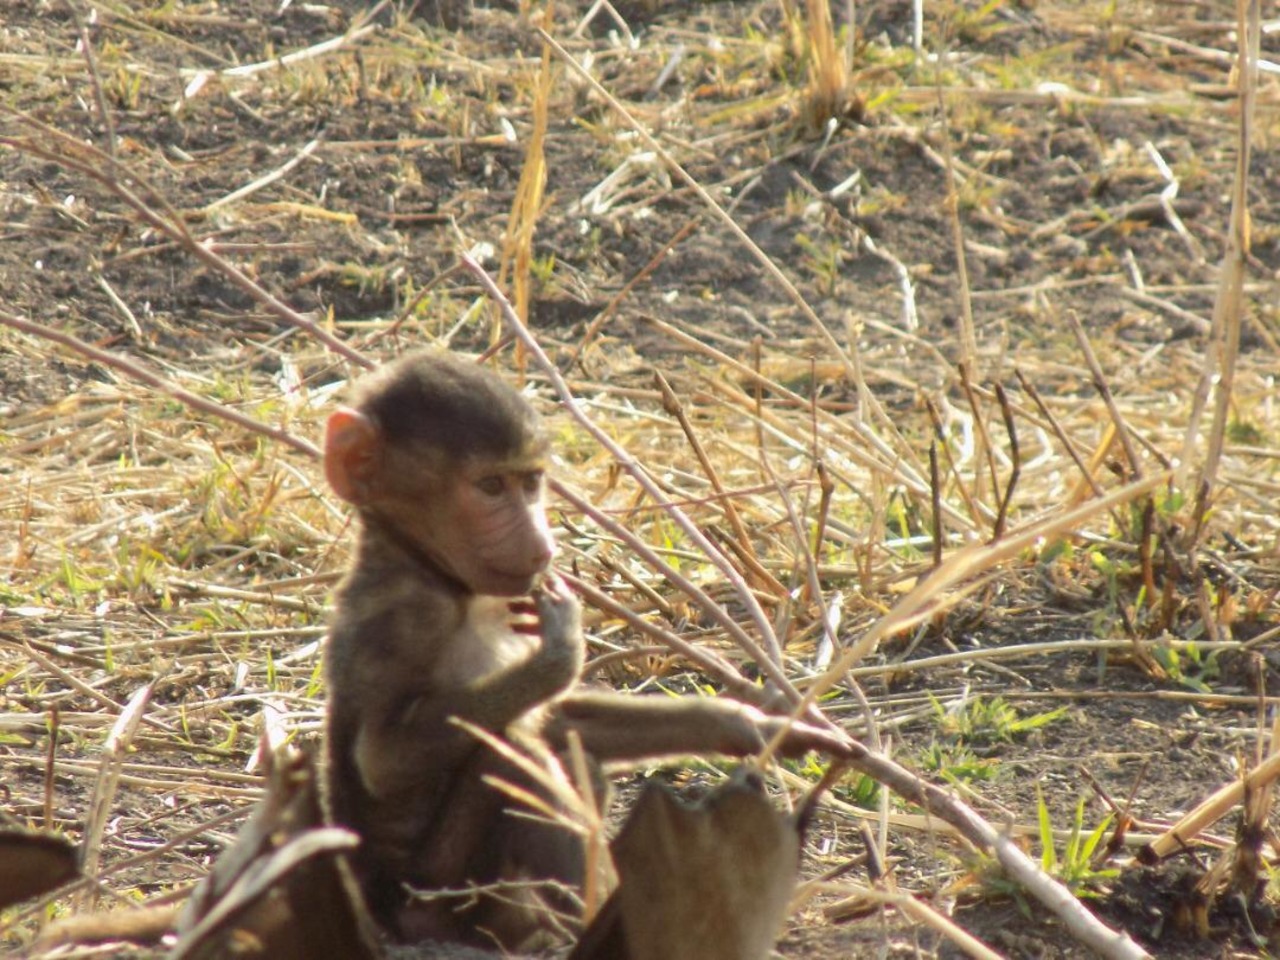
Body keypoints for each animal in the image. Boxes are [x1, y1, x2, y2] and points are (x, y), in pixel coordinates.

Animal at [322, 350, 850, 951]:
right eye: (490, 486)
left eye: (530, 483)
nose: (542, 544)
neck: (433, 572)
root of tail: (377, 911)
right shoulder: (406, 618)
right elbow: (383, 759)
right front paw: (561, 653)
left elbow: (561, 718)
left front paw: (749, 724)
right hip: (437, 899)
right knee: (515, 756)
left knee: (566, 757)